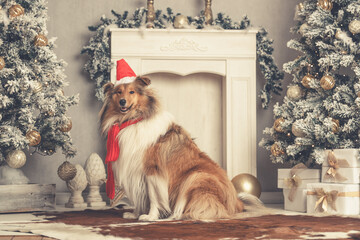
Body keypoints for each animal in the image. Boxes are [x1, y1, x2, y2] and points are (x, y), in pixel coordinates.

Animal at [98, 76, 250, 220]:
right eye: (118, 92)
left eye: (132, 92)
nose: (122, 102)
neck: (132, 120)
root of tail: (236, 202)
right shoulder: (135, 172)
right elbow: (140, 197)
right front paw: (135, 214)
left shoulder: (152, 171)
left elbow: (153, 196)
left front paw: (150, 216)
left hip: (195, 176)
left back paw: (178, 215)